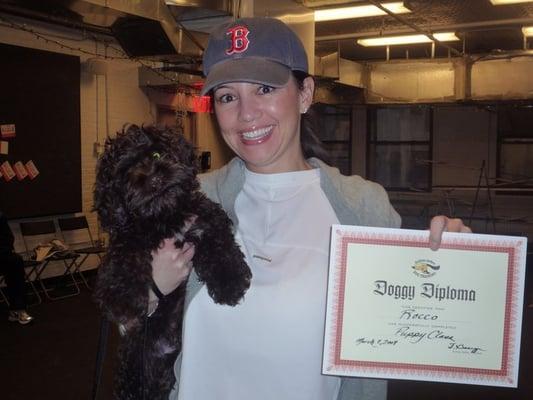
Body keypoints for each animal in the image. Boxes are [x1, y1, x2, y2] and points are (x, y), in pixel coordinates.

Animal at [93, 123, 251, 398]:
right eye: (125, 172)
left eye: (156, 154)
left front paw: (229, 282)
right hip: (133, 369)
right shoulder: (127, 238)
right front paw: (124, 302)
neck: (164, 217)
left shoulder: (205, 217)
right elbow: (123, 263)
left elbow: (220, 245)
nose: (153, 179)